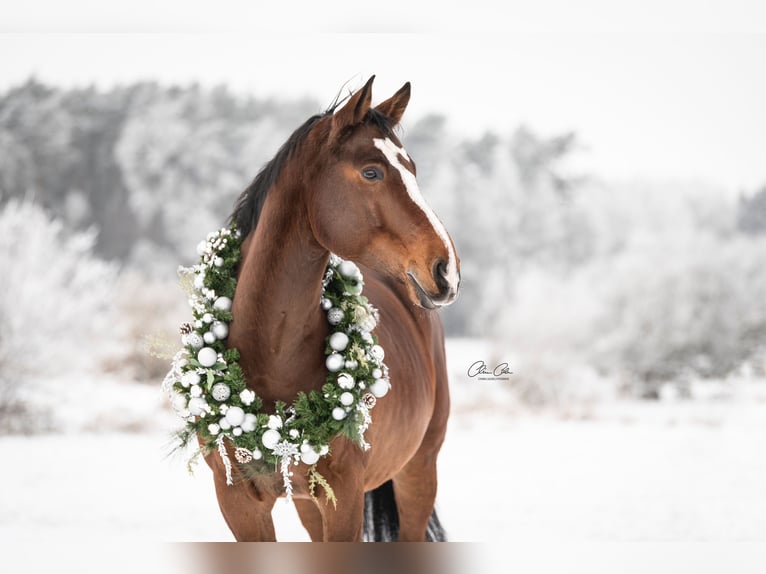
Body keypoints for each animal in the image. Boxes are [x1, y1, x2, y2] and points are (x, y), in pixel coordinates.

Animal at [204, 77, 462, 544]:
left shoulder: (344, 498)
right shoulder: (238, 502)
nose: (446, 268)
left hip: (418, 471)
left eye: (412, 168)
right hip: (309, 503)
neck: (272, 356)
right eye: (372, 171)